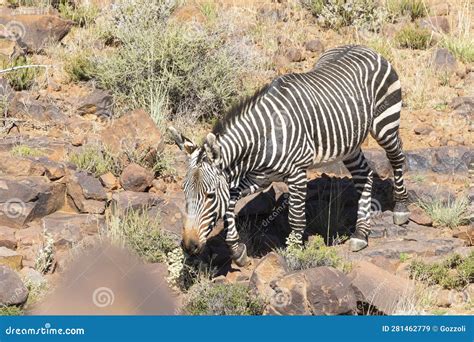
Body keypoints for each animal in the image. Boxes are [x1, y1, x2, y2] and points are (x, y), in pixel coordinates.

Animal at [168, 44, 410, 266]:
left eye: (209, 196)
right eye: (184, 192)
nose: (189, 247)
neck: (260, 143)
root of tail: (362, 46)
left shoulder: (297, 174)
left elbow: (296, 217)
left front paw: (294, 253)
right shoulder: (259, 179)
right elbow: (229, 204)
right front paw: (237, 250)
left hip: (385, 123)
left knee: (397, 157)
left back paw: (400, 209)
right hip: (348, 141)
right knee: (364, 174)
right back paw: (361, 233)